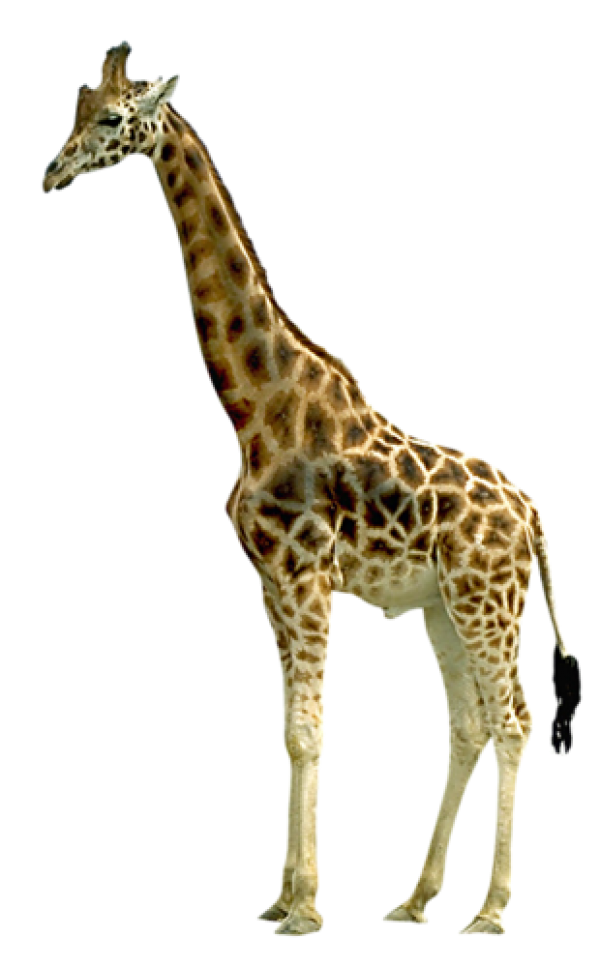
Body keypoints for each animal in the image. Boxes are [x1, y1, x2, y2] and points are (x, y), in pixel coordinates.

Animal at [41, 40, 582, 938]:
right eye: (76, 108)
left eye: (114, 119)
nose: (50, 173)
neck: (256, 410)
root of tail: (534, 512)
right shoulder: (268, 582)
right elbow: (291, 732)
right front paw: (281, 895)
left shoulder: (306, 577)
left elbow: (311, 732)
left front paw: (303, 907)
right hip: (441, 606)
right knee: (469, 723)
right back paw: (415, 897)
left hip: (486, 598)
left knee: (515, 718)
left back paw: (489, 909)